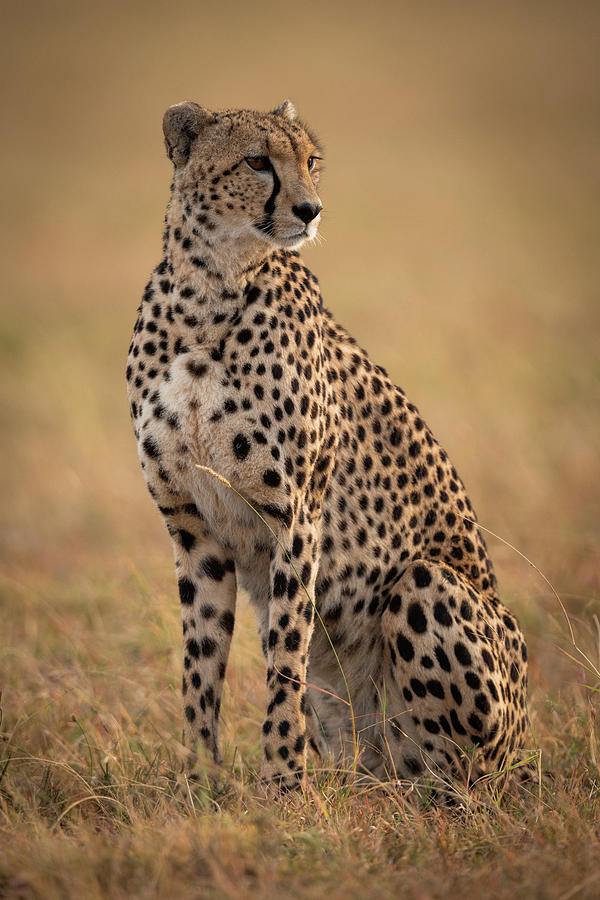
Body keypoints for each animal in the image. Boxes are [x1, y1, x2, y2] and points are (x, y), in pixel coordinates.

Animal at [125, 96, 524, 788]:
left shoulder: (296, 515)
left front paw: (282, 781)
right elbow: (200, 666)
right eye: (257, 161)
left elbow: (286, 661)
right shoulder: (194, 530)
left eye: (310, 161)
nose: (310, 209)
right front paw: (198, 781)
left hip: (429, 589)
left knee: (458, 777)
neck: (209, 290)